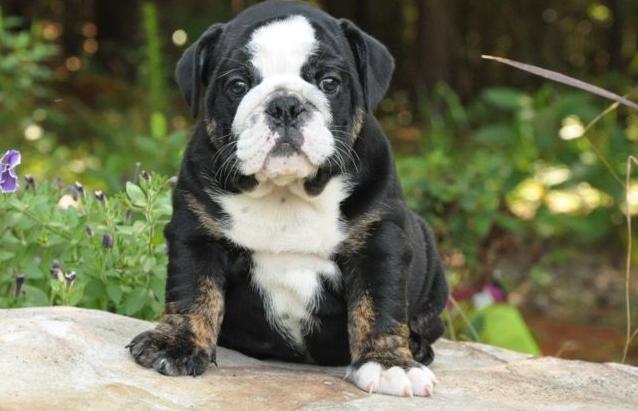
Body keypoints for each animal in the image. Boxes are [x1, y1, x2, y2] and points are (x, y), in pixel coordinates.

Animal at [129, 0, 450, 400]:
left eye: (329, 82)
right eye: (238, 85)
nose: (284, 104)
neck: (286, 192)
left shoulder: (380, 243)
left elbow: (379, 303)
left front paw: (390, 363)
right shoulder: (197, 233)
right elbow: (193, 290)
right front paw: (177, 342)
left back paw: (417, 347)